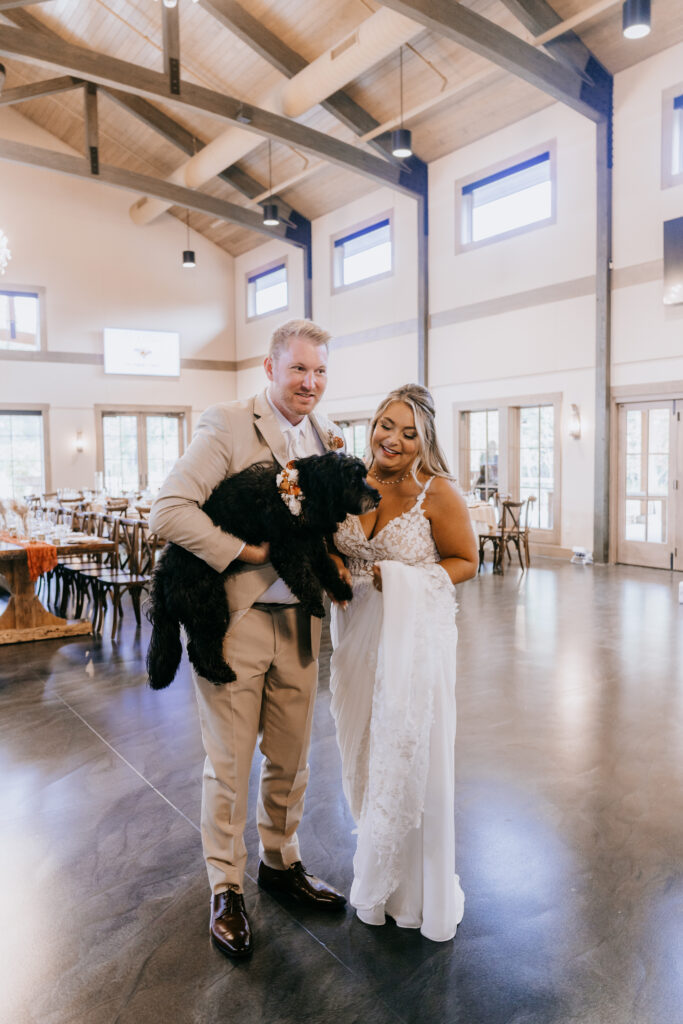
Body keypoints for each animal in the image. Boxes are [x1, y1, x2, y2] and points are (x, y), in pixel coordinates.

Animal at [147, 452, 378, 692]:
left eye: (364, 476)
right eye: (354, 480)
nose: (377, 496)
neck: (304, 490)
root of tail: (162, 573)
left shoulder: (312, 544)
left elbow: (327, 569)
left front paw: (341, 590)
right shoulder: (285, 549)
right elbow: (302, 576)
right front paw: (314, 602)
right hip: (209, 608)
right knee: (201, 647)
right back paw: (222, 674)